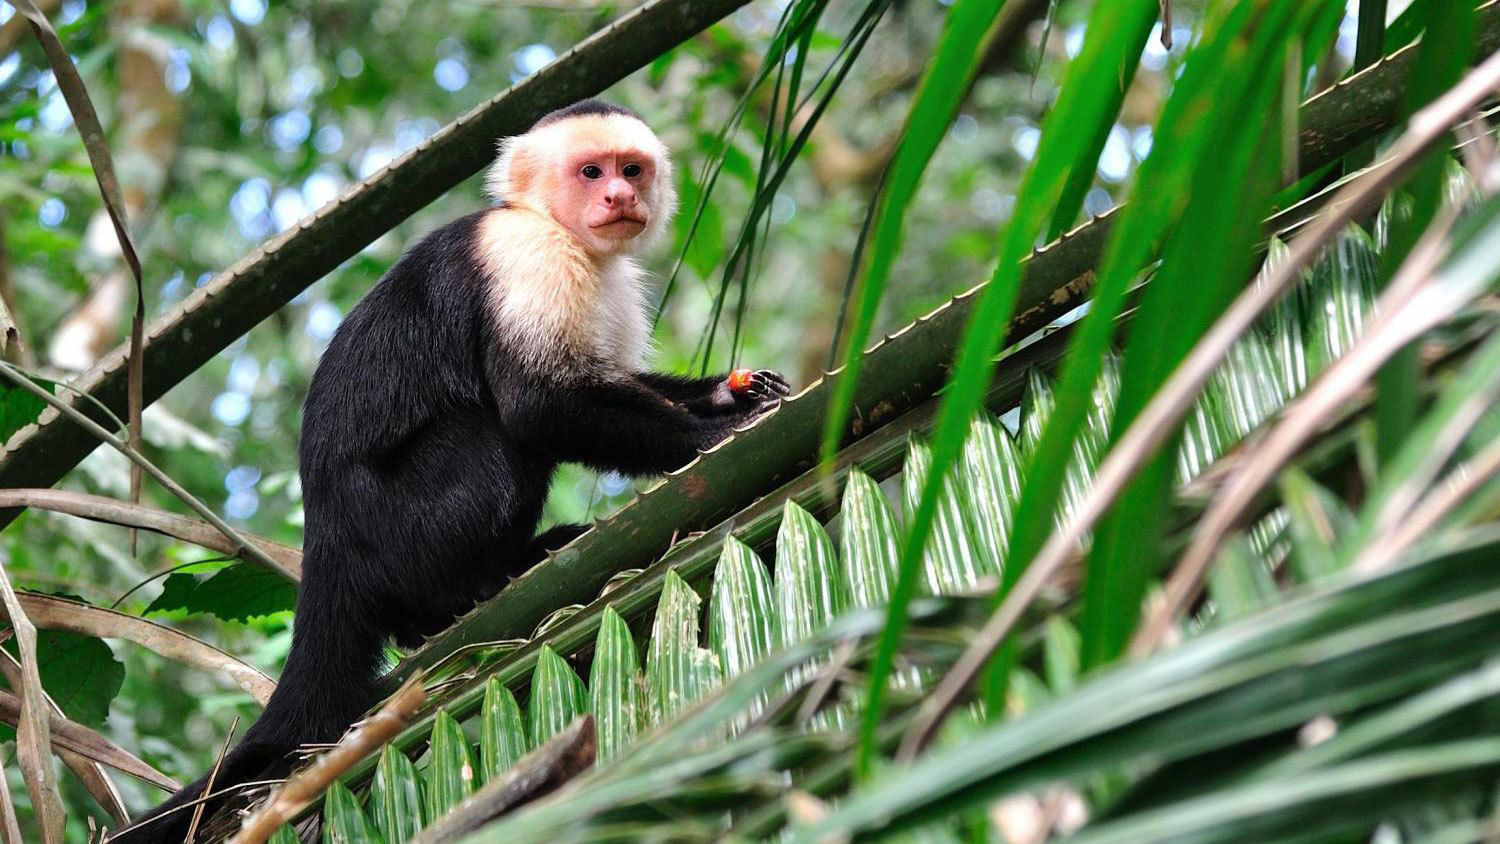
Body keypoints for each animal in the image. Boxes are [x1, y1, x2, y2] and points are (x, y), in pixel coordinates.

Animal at [114, 97, 798, 839]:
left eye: (632, 169)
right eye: (591, 172)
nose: (620, 197)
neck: (547, 222)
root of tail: (325, 544)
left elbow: (614, 382)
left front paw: (732, 392)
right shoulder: (527, 257)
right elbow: (541, 407)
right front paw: (717, 434)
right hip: (401, 524)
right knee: (489, 438)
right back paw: (476, 586)